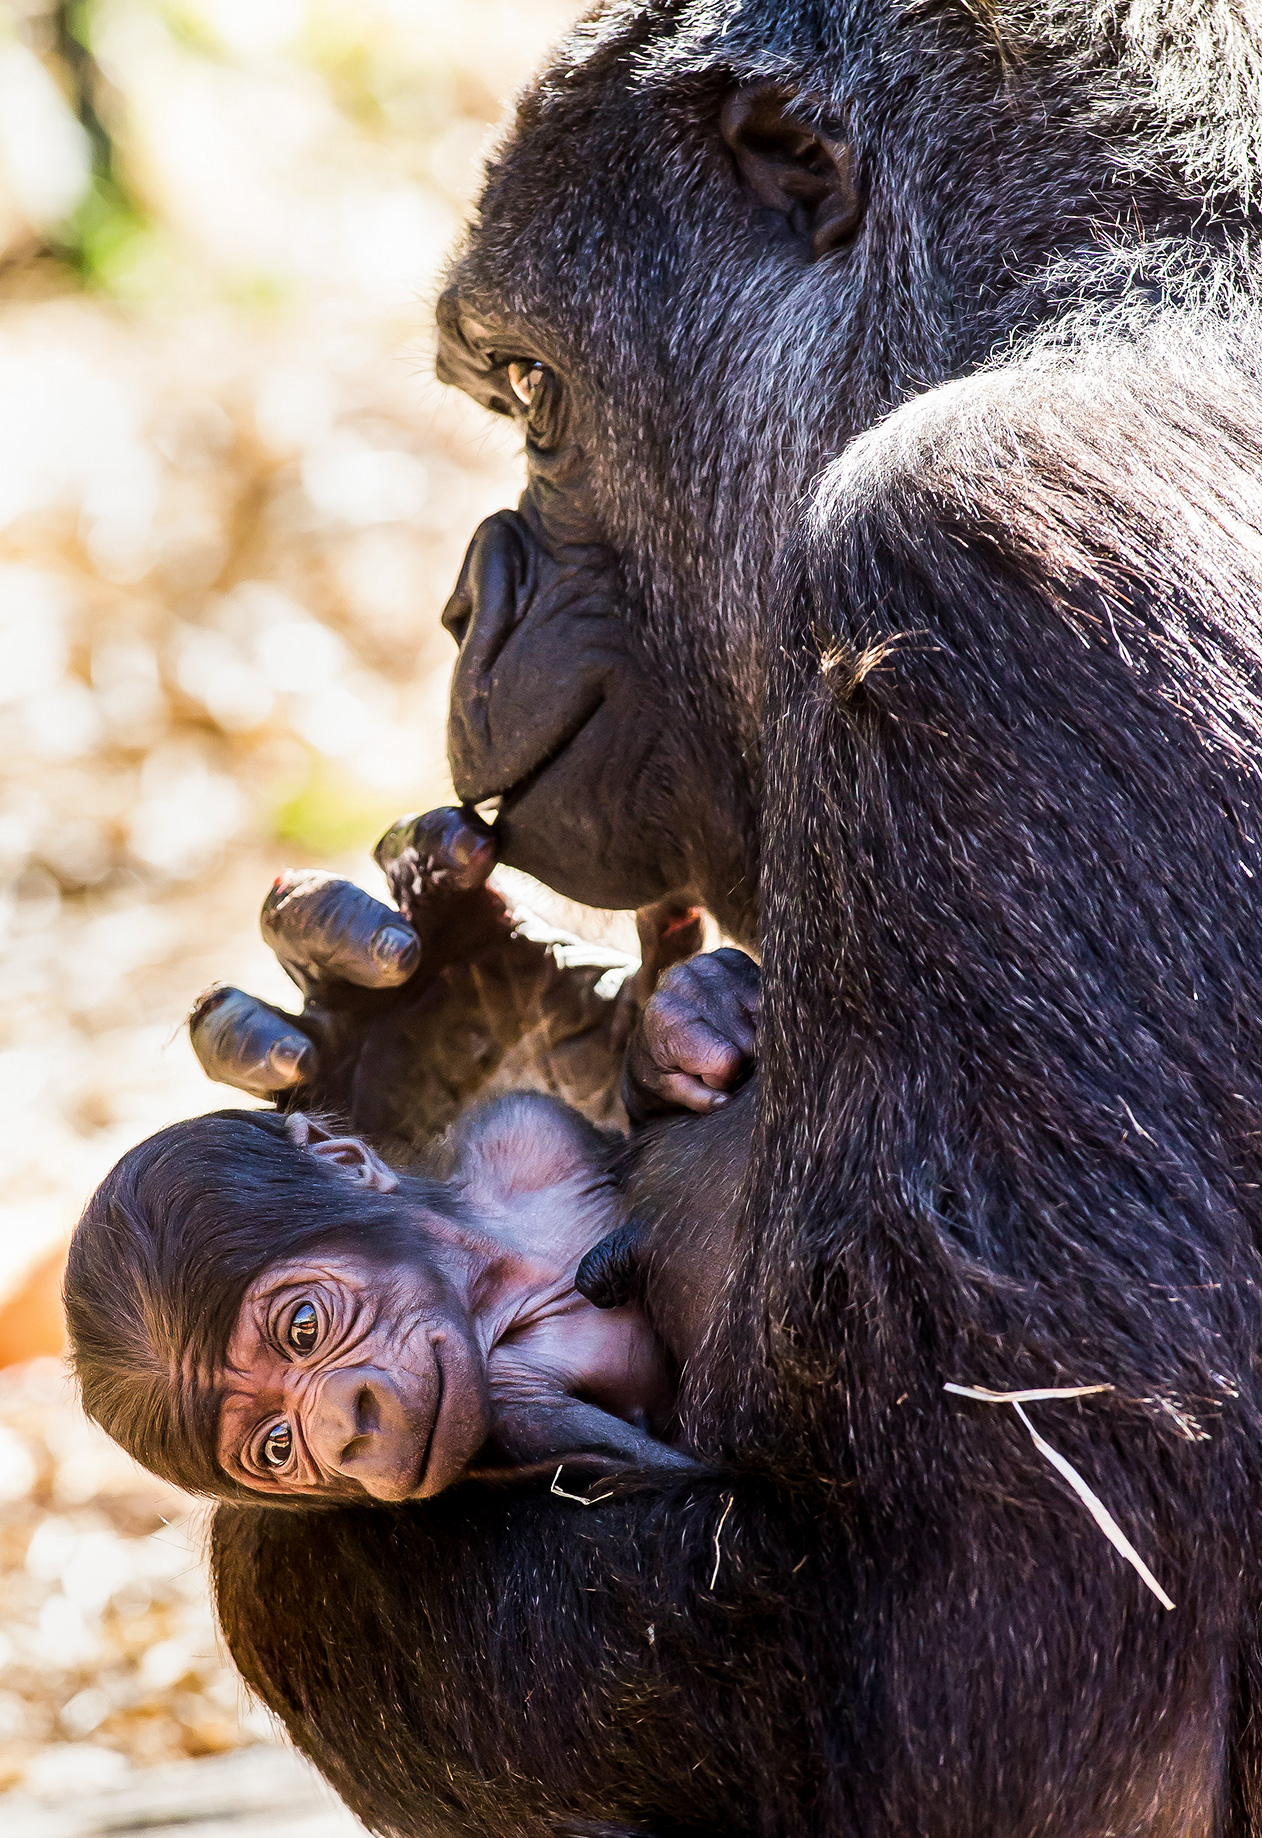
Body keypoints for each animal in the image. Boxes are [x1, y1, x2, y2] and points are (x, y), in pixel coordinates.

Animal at [64, 948, 756, 1507]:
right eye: (279, 1447)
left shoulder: (520, 1126)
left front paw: (690, 1023)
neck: (498, 1284)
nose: (346, 1431)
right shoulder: (511, 1409)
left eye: (304, 1326)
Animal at [197, 3, 1262, 1838]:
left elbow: (981, 1683)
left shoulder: (978, 543)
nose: (462, 602)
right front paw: (414, 1048)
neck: (1105, 264)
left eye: (531, 393)